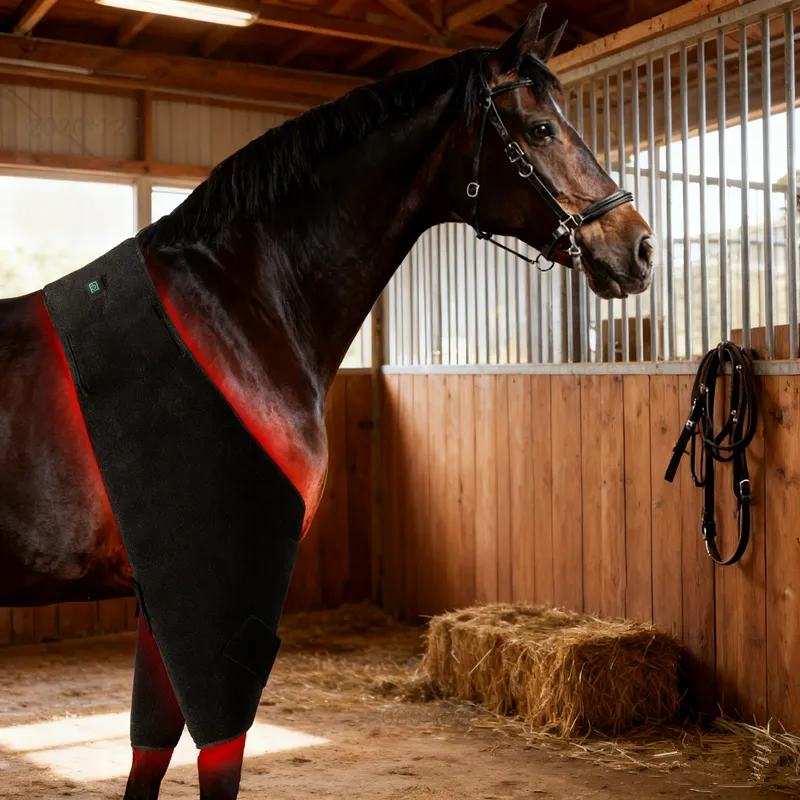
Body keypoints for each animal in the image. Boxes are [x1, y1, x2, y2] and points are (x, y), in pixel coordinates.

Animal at [0, 6, 654, 799]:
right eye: (541, 130)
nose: (639, 248)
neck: (239, 308)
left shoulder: (167, 598)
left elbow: (148, 752)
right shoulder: (217, 594)